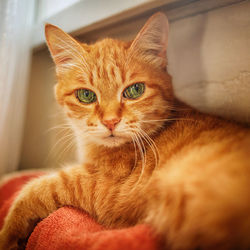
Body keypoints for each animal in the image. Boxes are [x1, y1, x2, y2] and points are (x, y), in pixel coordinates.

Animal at [0, 12, 250, 250]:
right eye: (86, 95)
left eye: (135, 90)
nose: (110, 121)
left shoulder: (102, 187)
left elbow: (37, 188)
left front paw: (7, 235)